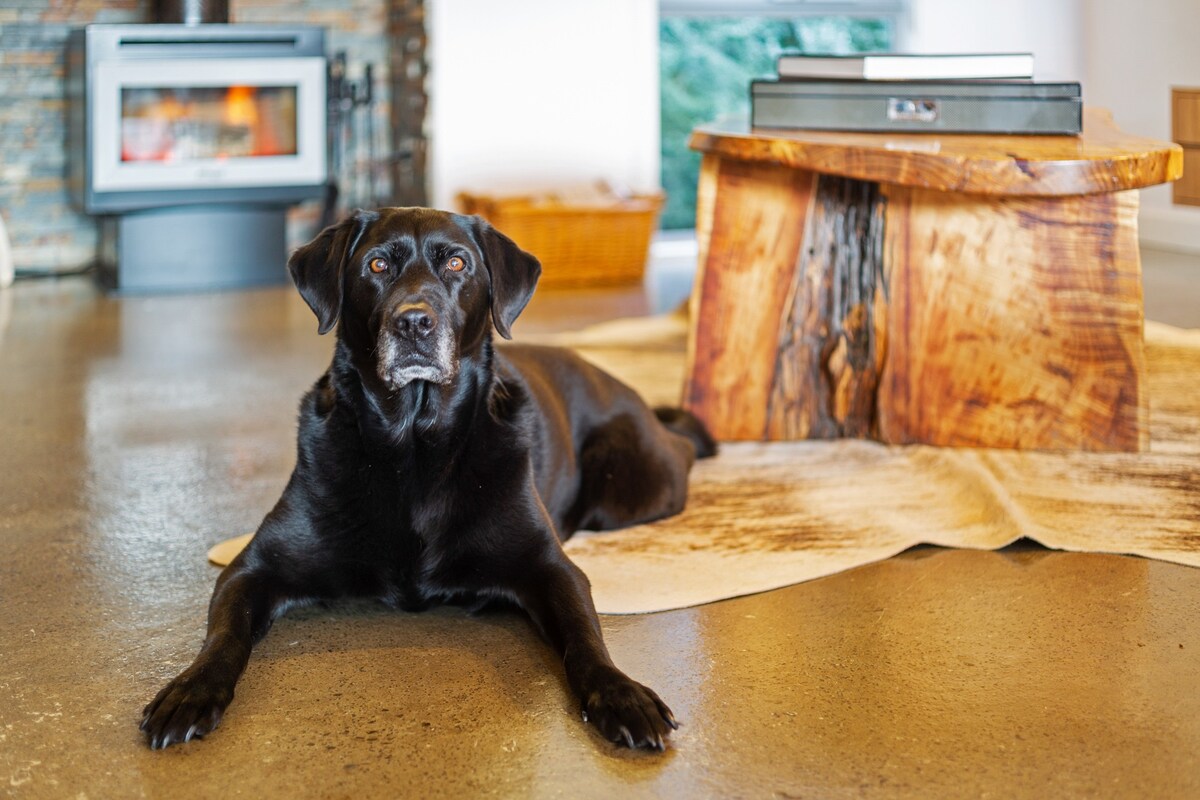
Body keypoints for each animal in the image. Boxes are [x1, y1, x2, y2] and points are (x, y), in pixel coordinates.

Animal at [138, 205, 710, 753]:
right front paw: (190, 690)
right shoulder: (252, 568)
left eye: (456, 263)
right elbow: (224, 636)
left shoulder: (551, 568)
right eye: (377, 266)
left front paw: (621, 694)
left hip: (629, 490)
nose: (414, 324)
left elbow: (585, 636)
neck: (413, 446)